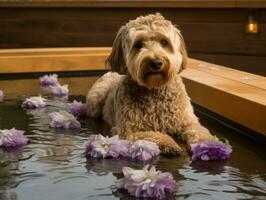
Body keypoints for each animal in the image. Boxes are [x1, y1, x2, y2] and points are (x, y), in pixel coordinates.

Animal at [86, 13, 213, 155]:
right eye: (138, 44)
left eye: (164, 42)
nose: (156, 62)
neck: (154, 89)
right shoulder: (127, 131)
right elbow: (152, 134)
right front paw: (169, 143)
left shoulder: (188, 121)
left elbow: (199, 131)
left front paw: (208, 145)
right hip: (95, 102)